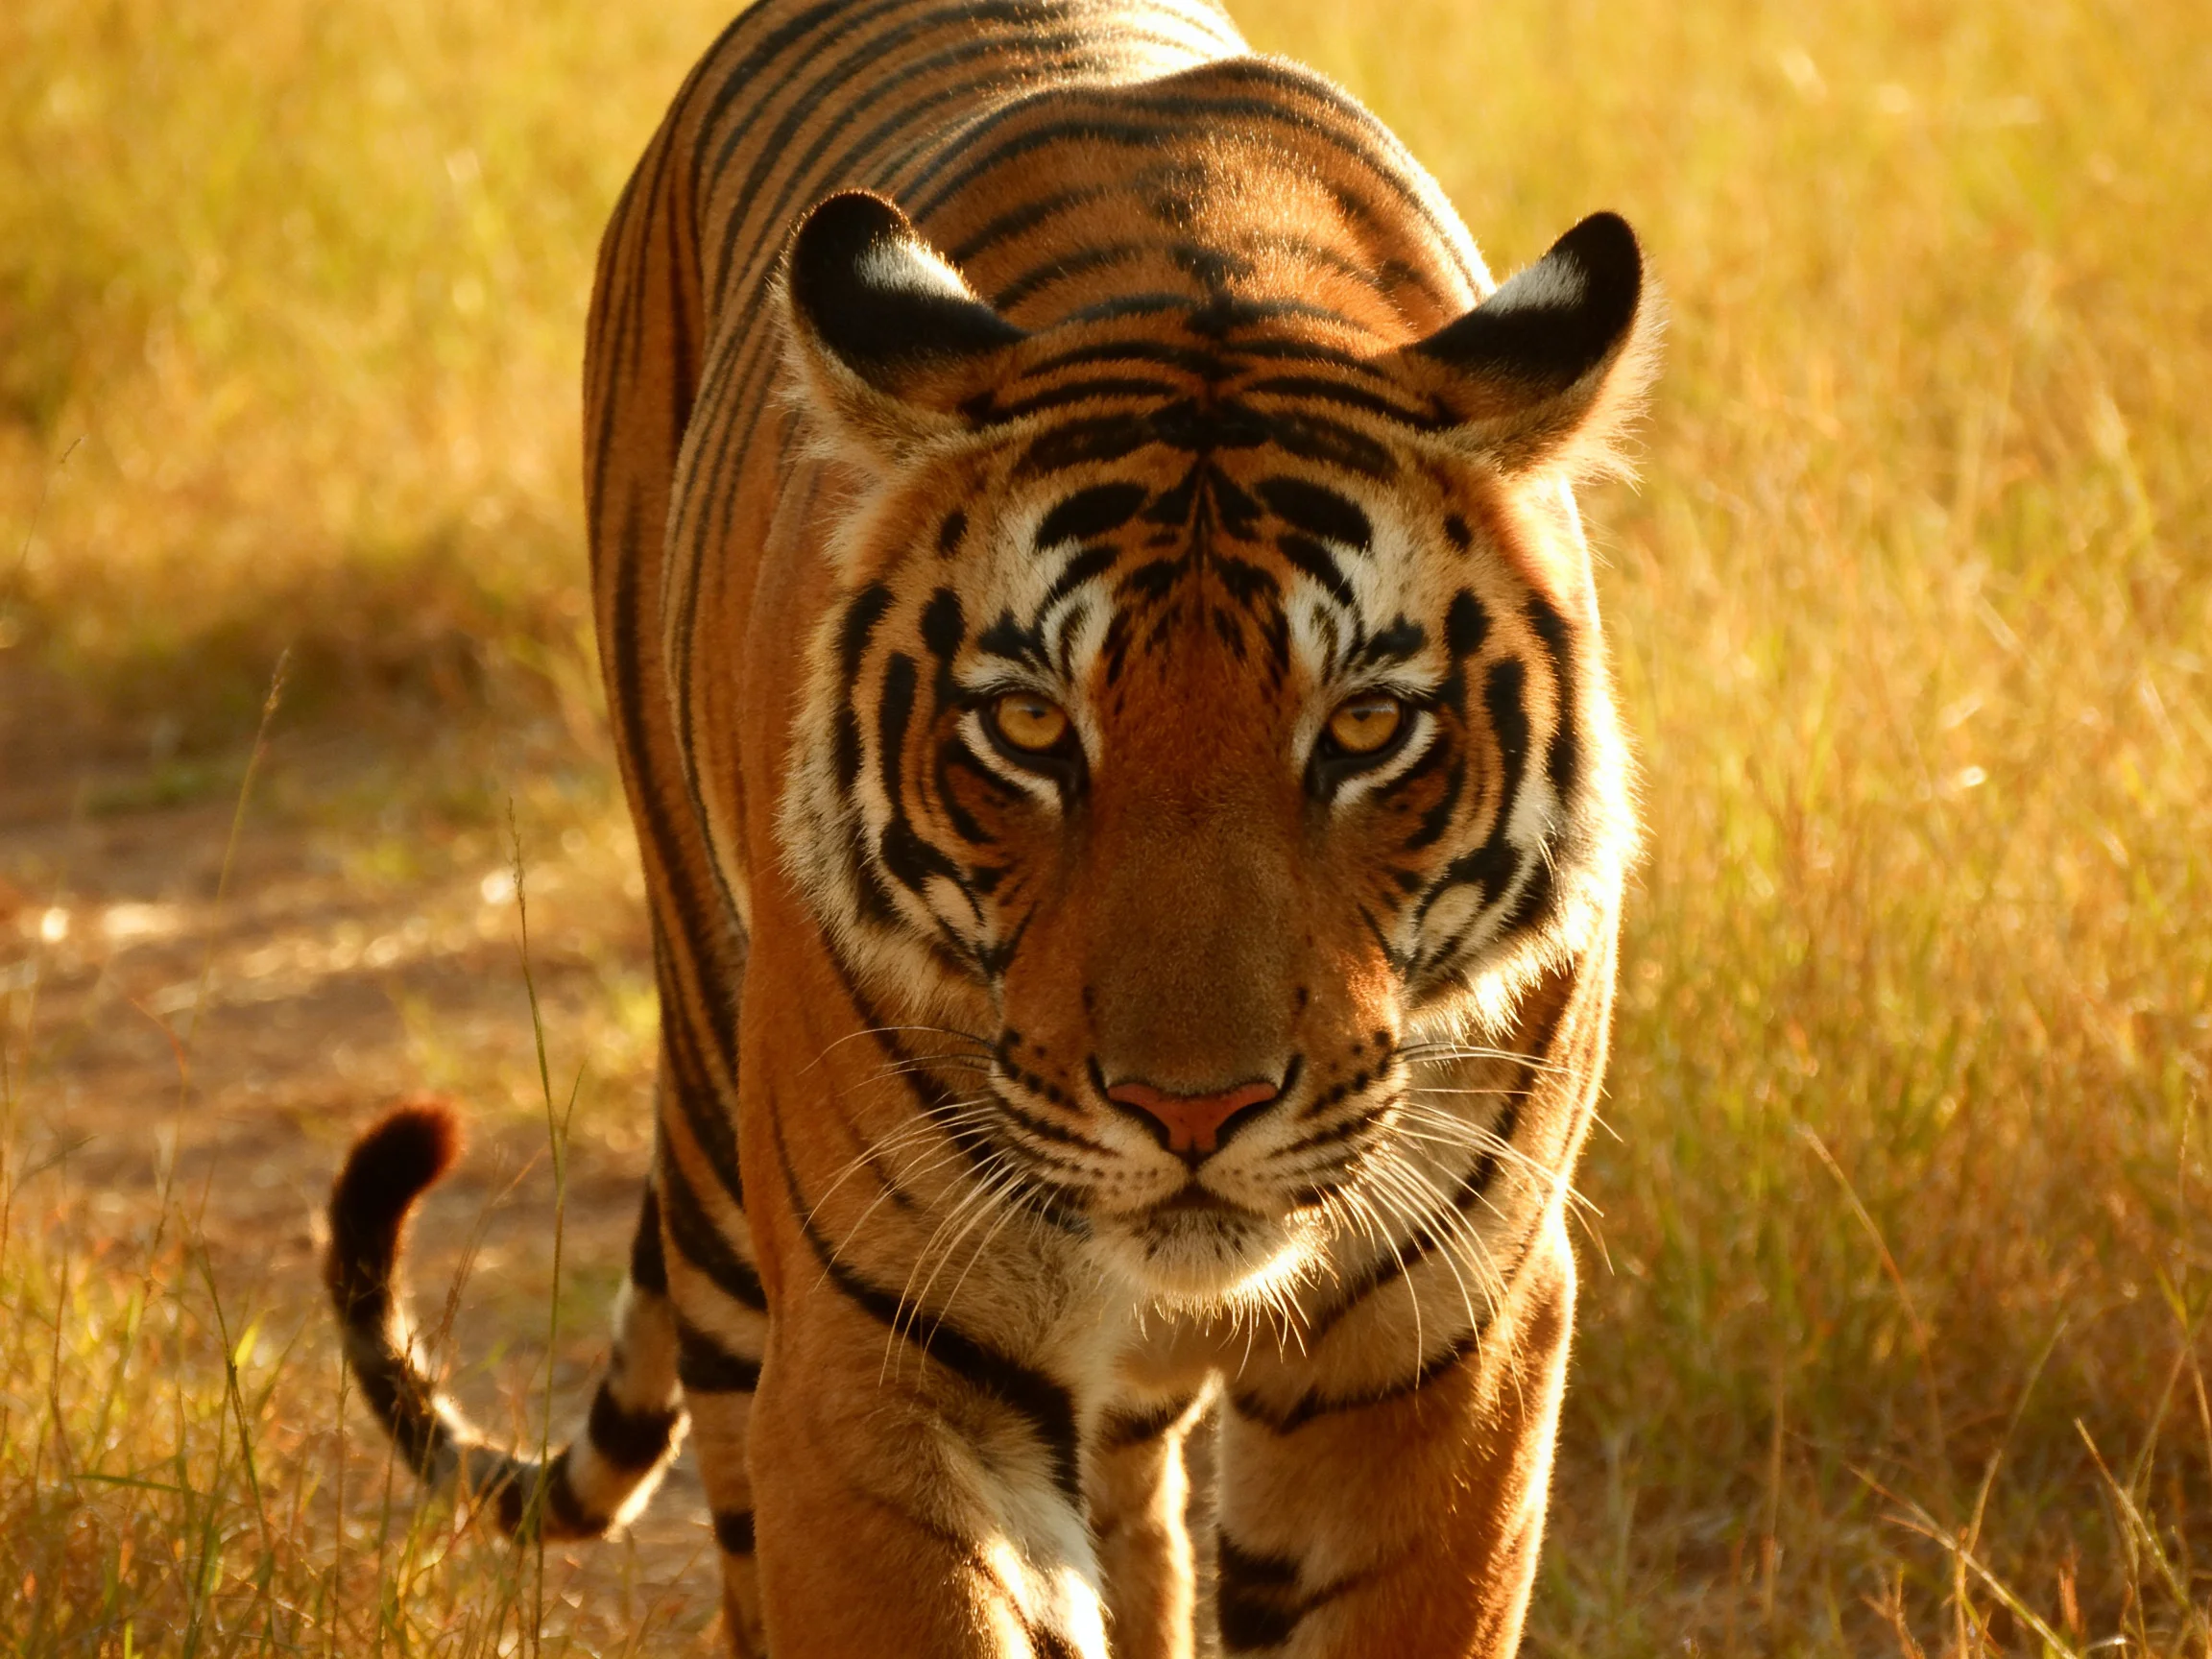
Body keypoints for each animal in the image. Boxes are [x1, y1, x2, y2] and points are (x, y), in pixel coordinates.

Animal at [324, 0, 1658, 1653]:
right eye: (1030, 730)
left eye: (1362, 729)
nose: (1195, 1115)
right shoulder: (886, 1360)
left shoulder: (1442, 1347)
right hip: (718, 1151)